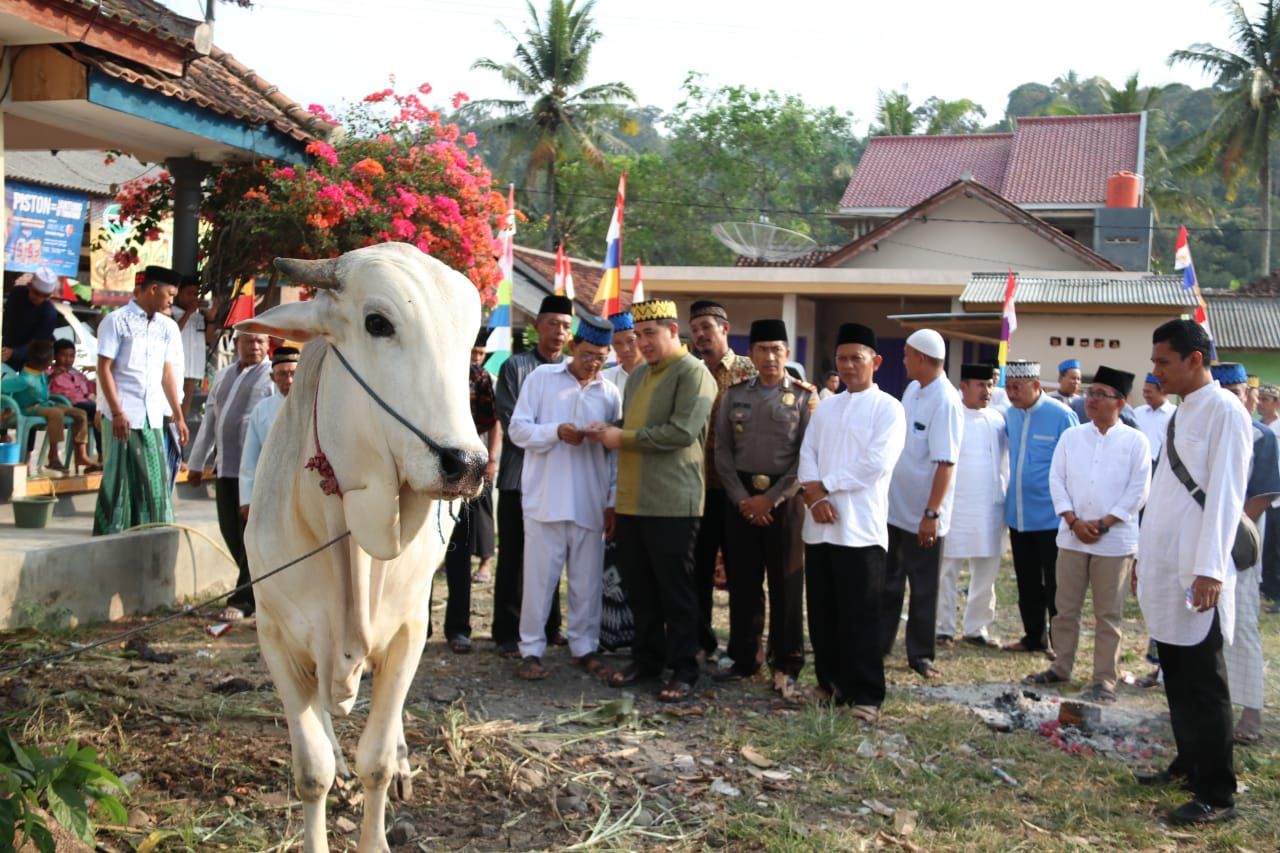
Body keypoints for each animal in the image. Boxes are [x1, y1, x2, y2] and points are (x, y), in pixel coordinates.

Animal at [238, 240, 486, 850]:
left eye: (469, 336)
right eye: (378, 323)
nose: (466, 464)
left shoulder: (408, 632)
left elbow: (375, 758)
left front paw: (378, 813)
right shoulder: (275, 635)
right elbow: (312, 769)